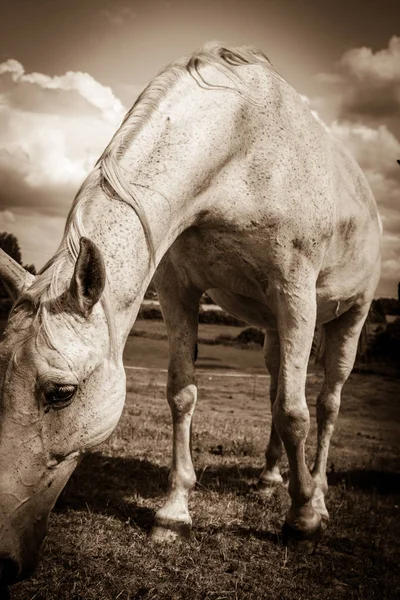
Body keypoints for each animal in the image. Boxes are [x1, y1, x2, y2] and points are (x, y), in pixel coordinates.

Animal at [0, 43, 382, 584]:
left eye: (60, 392)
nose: (1, 558)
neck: (242, 147)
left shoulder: (296, 293)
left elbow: (295, 412)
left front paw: (303, 519)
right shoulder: (178, 288)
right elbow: (184, 394)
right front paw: (174, 513)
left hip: (349, 316)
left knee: (327, 402)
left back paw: (320, 494)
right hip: (272, 330)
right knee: (275, 385)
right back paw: (269, 477)